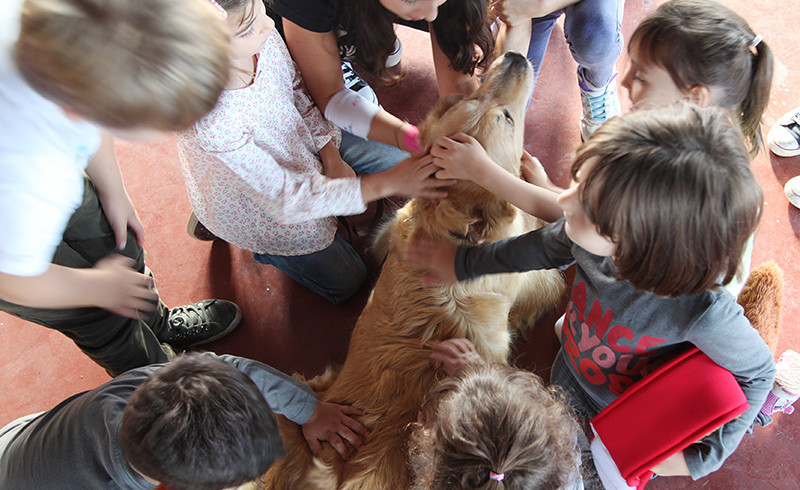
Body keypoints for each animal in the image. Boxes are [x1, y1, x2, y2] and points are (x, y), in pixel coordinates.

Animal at [260, 51, 564, 488]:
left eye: (467, 97)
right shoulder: (531, 273)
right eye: (506, 117)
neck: (447, 229)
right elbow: (550, 274)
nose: (515, 55)